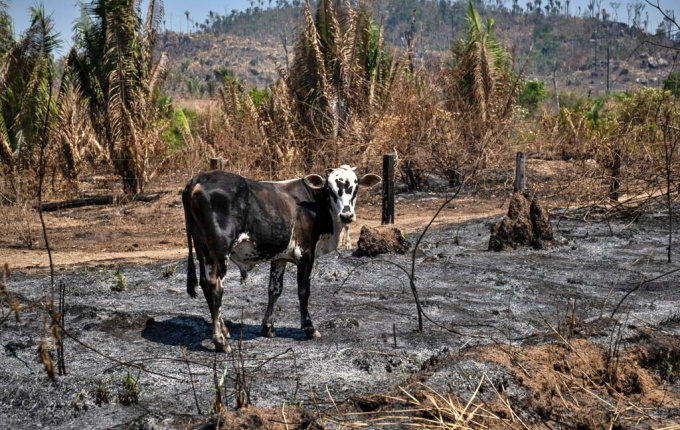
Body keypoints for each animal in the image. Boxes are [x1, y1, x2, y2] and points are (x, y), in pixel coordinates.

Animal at [183, 166, 380, 352]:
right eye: (329, 189)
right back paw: (220, 341)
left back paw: (224, 331)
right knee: (215, 287)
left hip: (203, 249)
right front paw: (309, 328)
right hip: (220, 252)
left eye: (356, 187)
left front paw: (268, 327)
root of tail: (199, 178)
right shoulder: (305, 254)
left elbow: (274, 290)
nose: (346, 215)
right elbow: (303, 291)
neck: (314, 204)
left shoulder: (280, 258)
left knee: (205, 283)